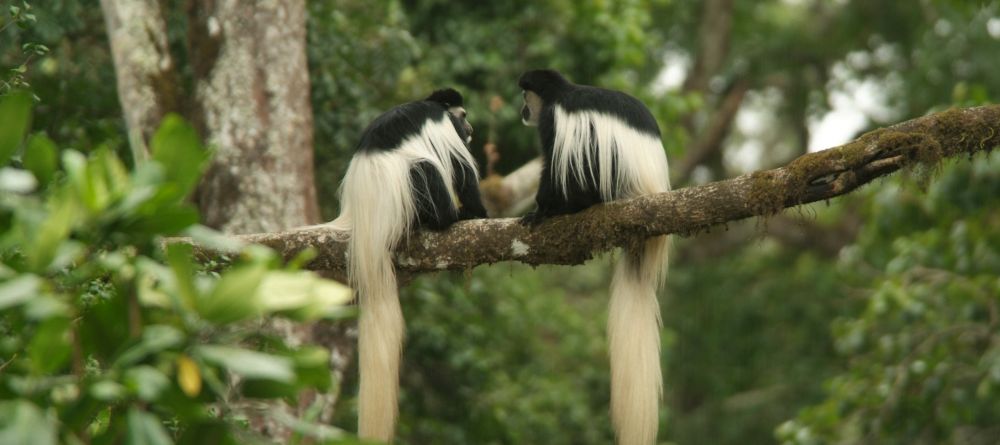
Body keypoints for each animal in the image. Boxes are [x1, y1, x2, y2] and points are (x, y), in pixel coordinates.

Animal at [332, 87, 488, 440]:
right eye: (464, 116)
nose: (470, 129)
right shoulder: (443, 126)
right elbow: (462, 170)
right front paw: (479, 213)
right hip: (404, 195)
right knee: (424, 169)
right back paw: (448, 217)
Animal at [516, 67, 672, 442]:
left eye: (525, 96)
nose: (523, 111)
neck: (561, 94)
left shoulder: (557, 121)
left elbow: (553, 166)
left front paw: (540, 211)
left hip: (610, 171)